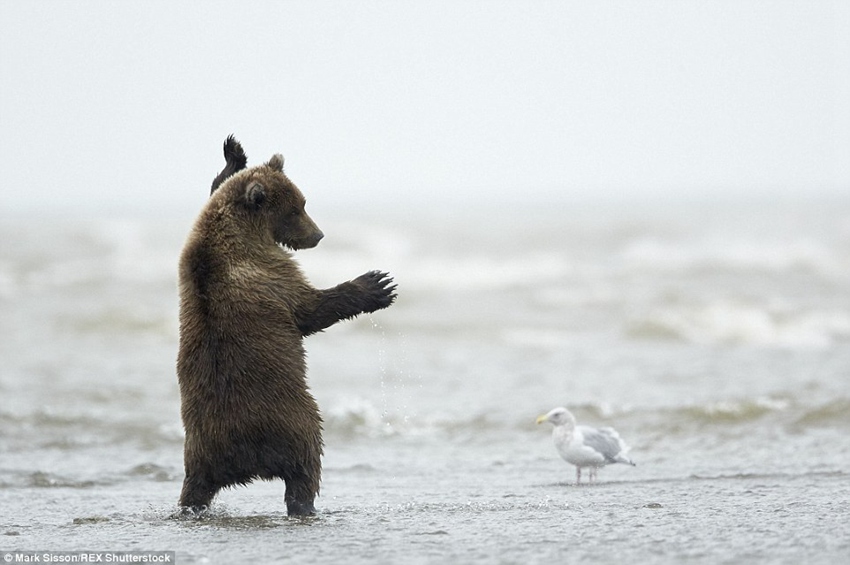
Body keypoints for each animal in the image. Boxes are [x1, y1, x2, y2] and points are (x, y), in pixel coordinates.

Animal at [176, 136, 397, 516]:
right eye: (297, 208)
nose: (318, 235)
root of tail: (240, 459)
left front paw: (234, 154)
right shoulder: (269, 275)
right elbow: (309, 310)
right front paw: (377, 284)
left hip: (199, 447)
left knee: (196, 486)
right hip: (292, 419)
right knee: (307, 464)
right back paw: (304, 504)